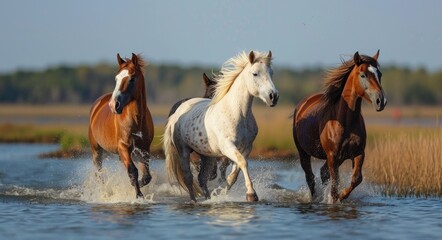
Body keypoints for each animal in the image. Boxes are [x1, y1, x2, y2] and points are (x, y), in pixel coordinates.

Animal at [88, 53, 154, 198]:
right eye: (116, 78)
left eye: (132, 78)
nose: (114, 105)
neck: (136, 120)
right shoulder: (123, 147)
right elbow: (133, 171)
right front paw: (138, 196)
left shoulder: (144, 149)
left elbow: (146, 176)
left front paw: (137, 186)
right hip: (97, 150)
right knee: (99, 173)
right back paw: (104, 193)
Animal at [164, 51, 278, 202]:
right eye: (255, 73)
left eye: (271, 72)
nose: (273, 97)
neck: (237, 113)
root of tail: (176, 114)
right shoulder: (227, 147)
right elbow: (242, 163)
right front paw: (251, 194)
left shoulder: (246, 147)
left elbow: (234, 174)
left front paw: (223, 194)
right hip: (184, 151)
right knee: (188, 177)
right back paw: (194, 201)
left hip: (207, 155)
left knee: (202, 178)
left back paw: (208, 199)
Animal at [294, 50, 386, 202]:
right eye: (363, 75)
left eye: (380, 74)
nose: (381, 101)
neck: (345, 122)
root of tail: (302, 104)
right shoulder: (333, 156)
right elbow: (334, 184)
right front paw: (334, 199)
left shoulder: (358, 153)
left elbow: (356, 179)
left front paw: (342, 196)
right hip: (304, 153)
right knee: (310, 178)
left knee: (323, 173)